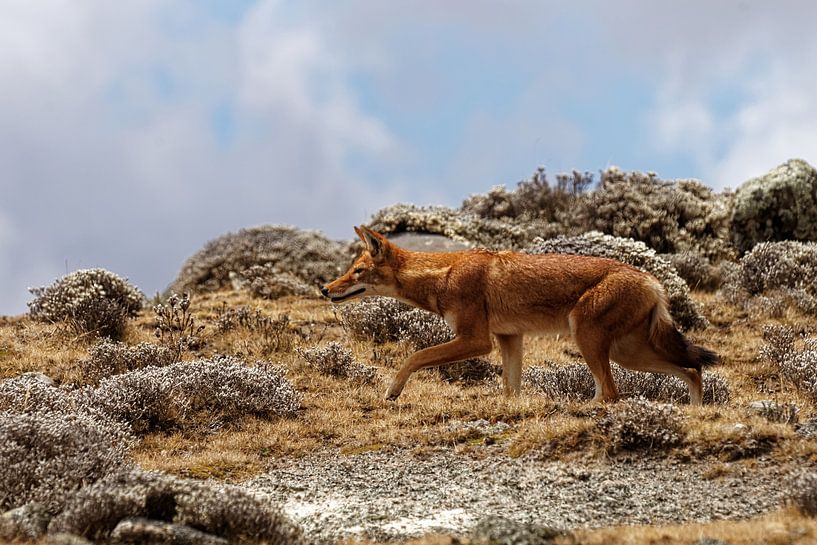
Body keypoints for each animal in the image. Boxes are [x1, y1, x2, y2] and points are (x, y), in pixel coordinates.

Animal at [322, 226, 717, 404]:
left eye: (357, 271)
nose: (325, 289)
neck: (444, 274)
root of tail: (653, 280)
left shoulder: (476, 340)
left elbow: (414, 356)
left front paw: (392, 391)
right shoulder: (509, 339)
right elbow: (510, 389)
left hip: (590, 341)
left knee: (610, 393)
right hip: (628, 354)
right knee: (691, 370)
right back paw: (694, 413)